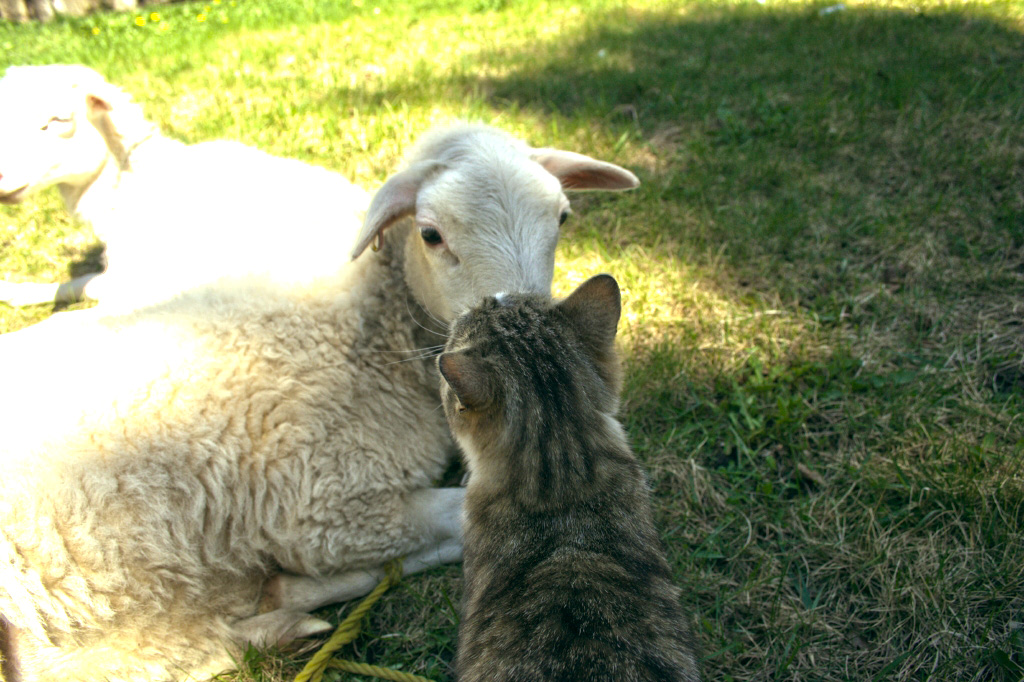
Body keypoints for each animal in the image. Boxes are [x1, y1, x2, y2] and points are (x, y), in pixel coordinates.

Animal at [0, 119, 638, 675]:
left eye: (561, 217)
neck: (364, 330)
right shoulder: (329, 506)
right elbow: (464, 522)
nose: (533, 322)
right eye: (431, 234)